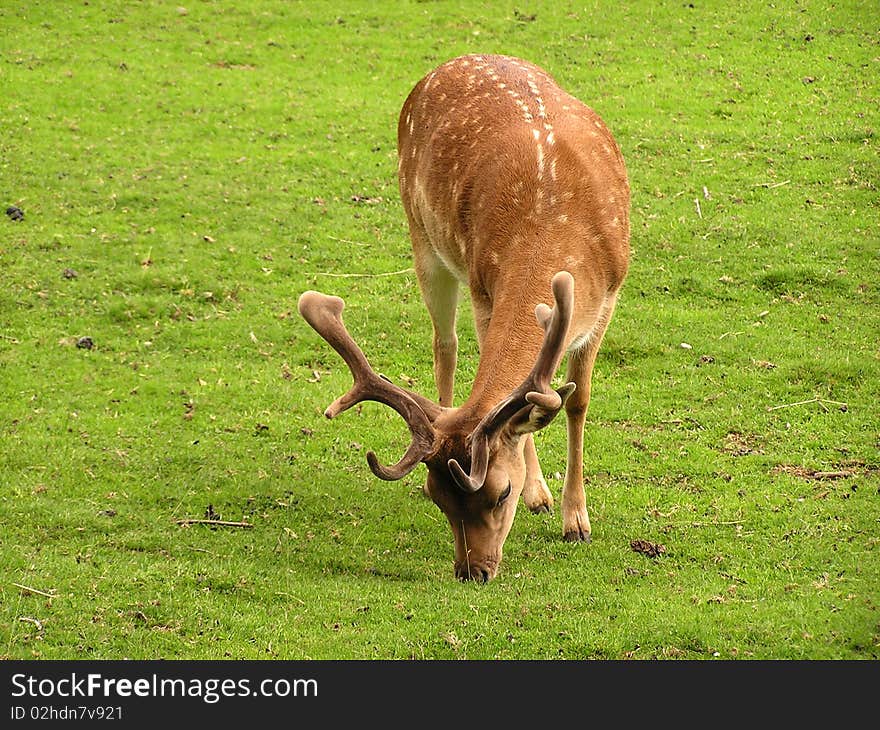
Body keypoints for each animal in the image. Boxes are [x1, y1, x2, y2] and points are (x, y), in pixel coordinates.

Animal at [300, 52, 628, 580]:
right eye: (439, 500)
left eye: (500, 493)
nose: (472, 571)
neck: (552, 229)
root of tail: (454, 61)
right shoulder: (482, 289)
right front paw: (543, 495)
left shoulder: (610, 297)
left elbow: (573, 401)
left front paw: (576, 520)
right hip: (422, 238)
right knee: (446, 347)